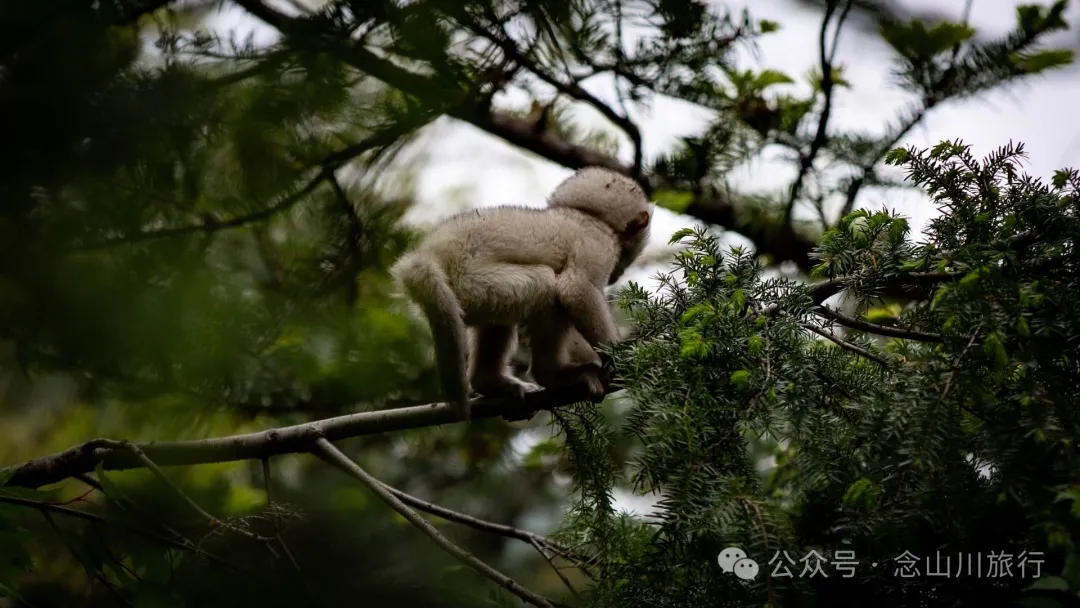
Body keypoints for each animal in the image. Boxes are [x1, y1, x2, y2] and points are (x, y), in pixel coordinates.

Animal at [391, 167, 652, 421]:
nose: (619, 273)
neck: (589, 216)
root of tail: (430, 255)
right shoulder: (598, 243)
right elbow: (576, 289)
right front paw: (622, 357)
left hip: (476, 295)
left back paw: (489, 382)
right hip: (470, 280)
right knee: (547, 287)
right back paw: (553, 374)